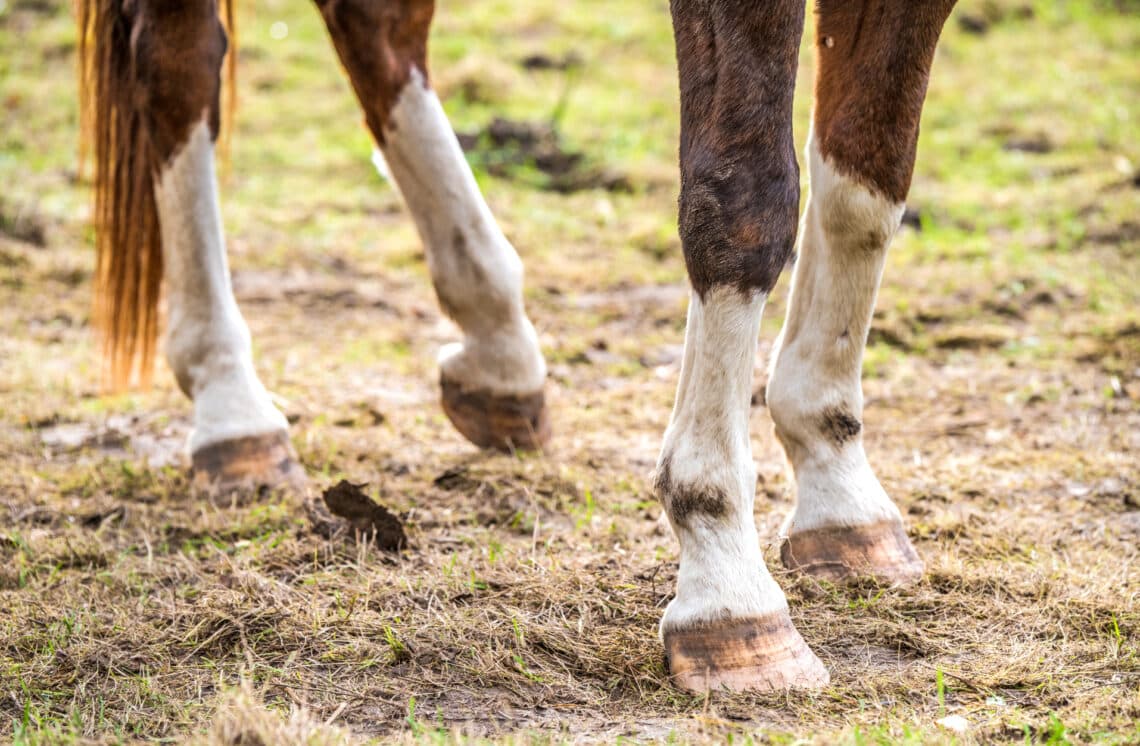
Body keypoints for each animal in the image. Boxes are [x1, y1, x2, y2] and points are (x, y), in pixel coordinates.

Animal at [75, 0, 957, 693]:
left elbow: (867, 180)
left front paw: (838, 485)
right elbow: (746, 199)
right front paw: (727, 581)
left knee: (372, 24)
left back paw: (499, 349)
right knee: (175, 56)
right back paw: (232, 407)